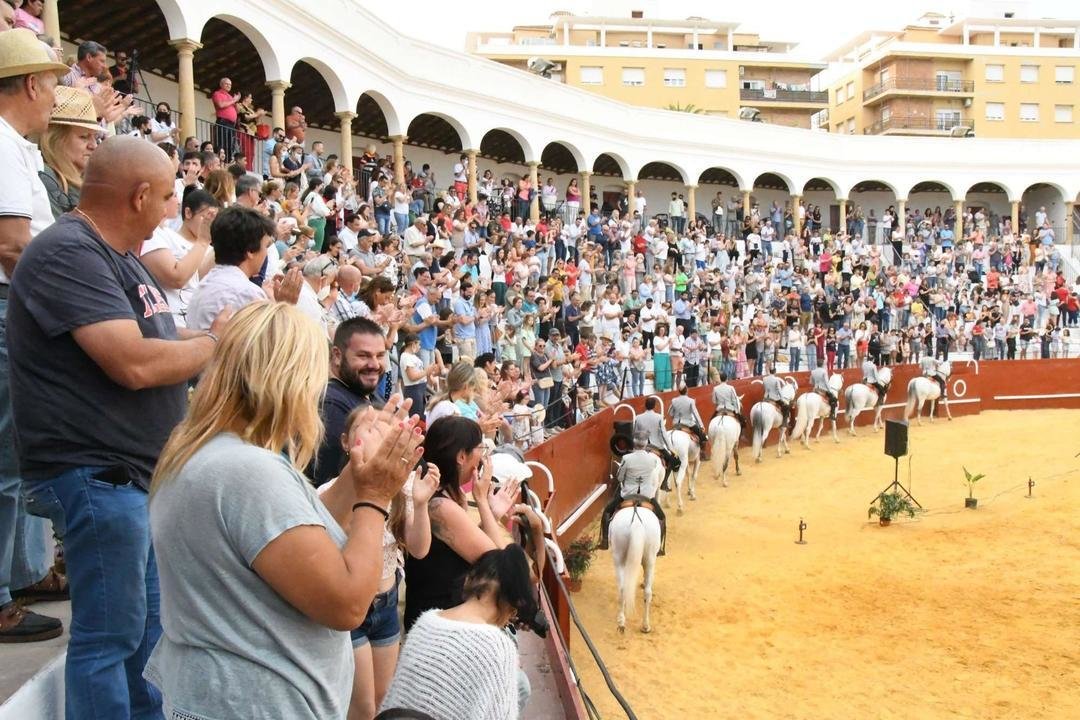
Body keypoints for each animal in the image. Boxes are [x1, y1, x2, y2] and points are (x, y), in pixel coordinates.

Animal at [613, 462, 660, 630]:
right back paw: (645, 625)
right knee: (647, 592)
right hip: (650, 559)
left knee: (623, 588)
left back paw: (622, 621)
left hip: (619, 558)